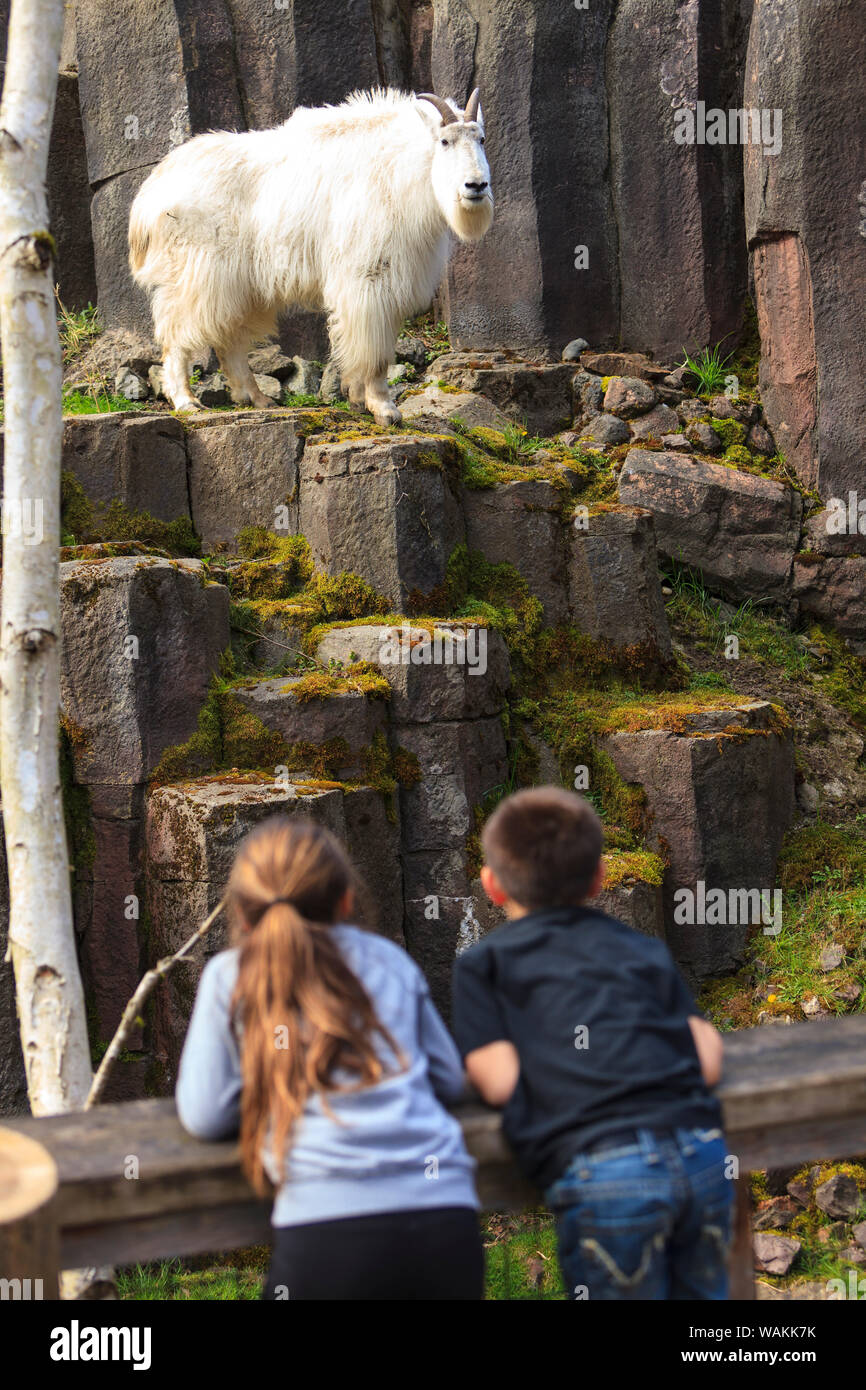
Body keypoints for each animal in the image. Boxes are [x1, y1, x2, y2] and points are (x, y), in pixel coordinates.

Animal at [129, 88, 493, 424]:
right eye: (444, 141)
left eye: (481, 138)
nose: (476, 186)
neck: (398, 169)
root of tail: (149, 198)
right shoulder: (369, 278)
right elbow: (375, 352)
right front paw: (384, 409)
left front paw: (356, 398)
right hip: (197, 274)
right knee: (178, 334)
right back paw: (186, 401)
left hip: (237, 286)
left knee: (228, 339)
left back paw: (257, 398)